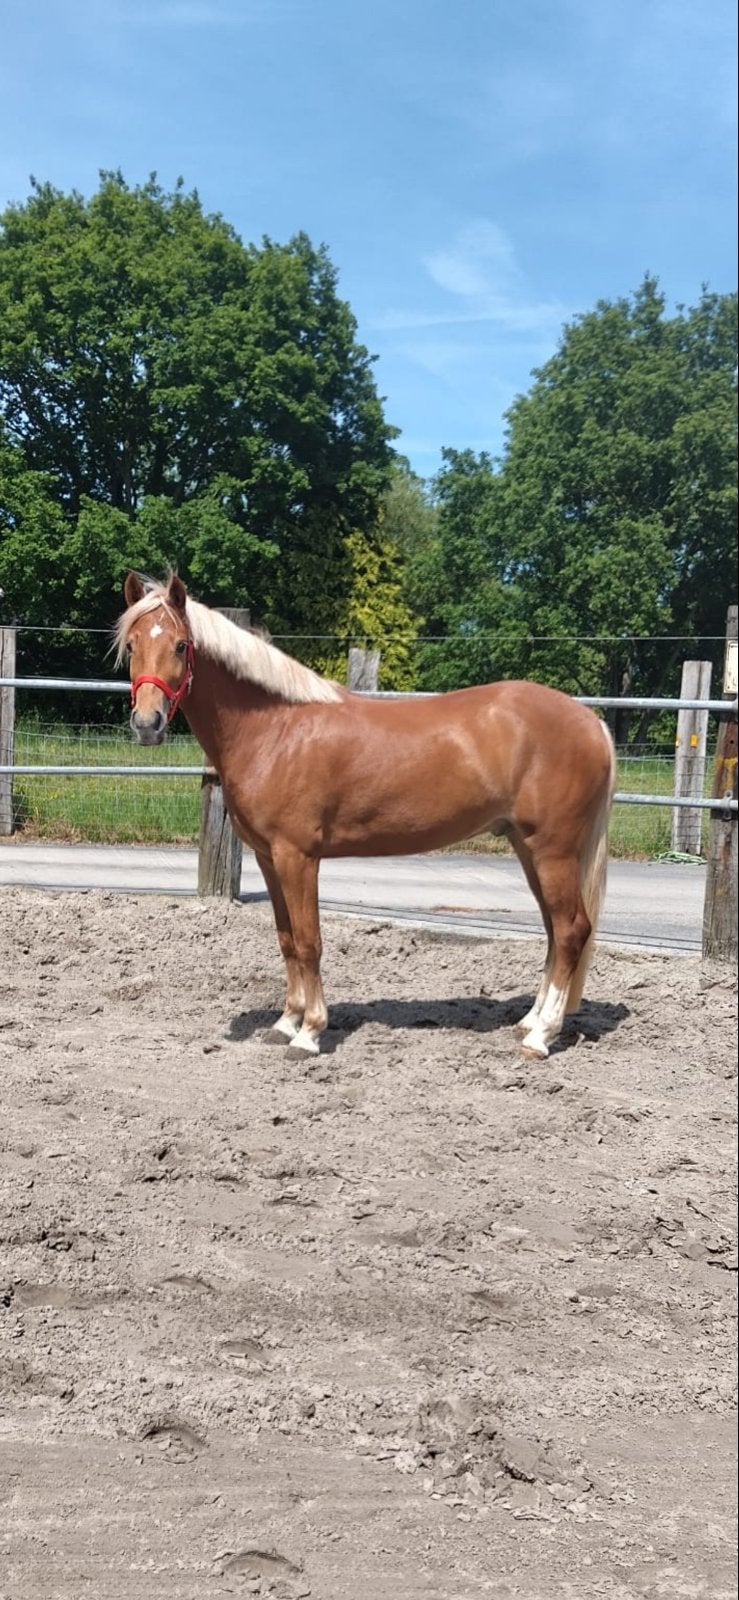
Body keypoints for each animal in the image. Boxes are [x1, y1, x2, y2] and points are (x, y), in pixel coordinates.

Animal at [116, 572, 616, 1060]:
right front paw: (285, 1023)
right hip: (529, 849)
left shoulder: (298, 857)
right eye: (133, 644)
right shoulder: (268, 858)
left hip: (552, 851)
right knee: (554, 931)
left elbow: (309, 941)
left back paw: (541, 1037)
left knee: (570, 931)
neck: (277, 730)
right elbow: (286, 940)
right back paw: (529, 1022)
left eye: (182, 645)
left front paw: (309, 1034)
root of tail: (590, 722)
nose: (147, 724)